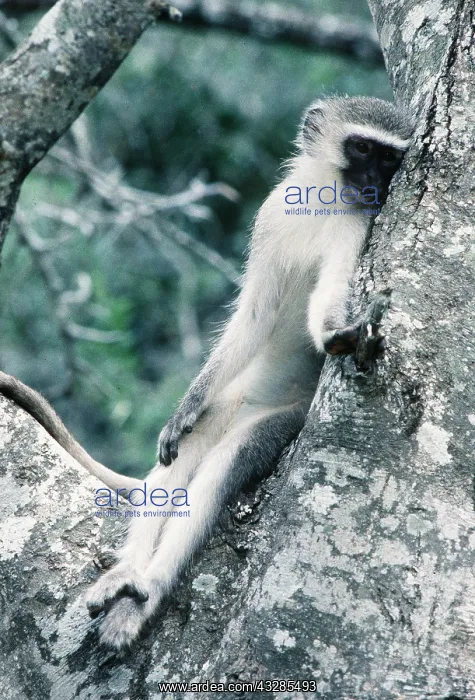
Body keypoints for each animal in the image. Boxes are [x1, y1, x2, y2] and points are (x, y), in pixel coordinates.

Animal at [0, 96, 413, 649]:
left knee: (222, 468)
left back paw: (146, 589)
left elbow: (326, 302)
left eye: (390, 159)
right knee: (181, 457)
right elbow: (253, 317)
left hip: (281, 420)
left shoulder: (357, 227)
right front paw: (185, 406)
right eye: (363, 148)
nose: (373, 180)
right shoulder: (272, 216)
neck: (324, 201)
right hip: (229, 401)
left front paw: (342, 337)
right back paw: (126, 573)